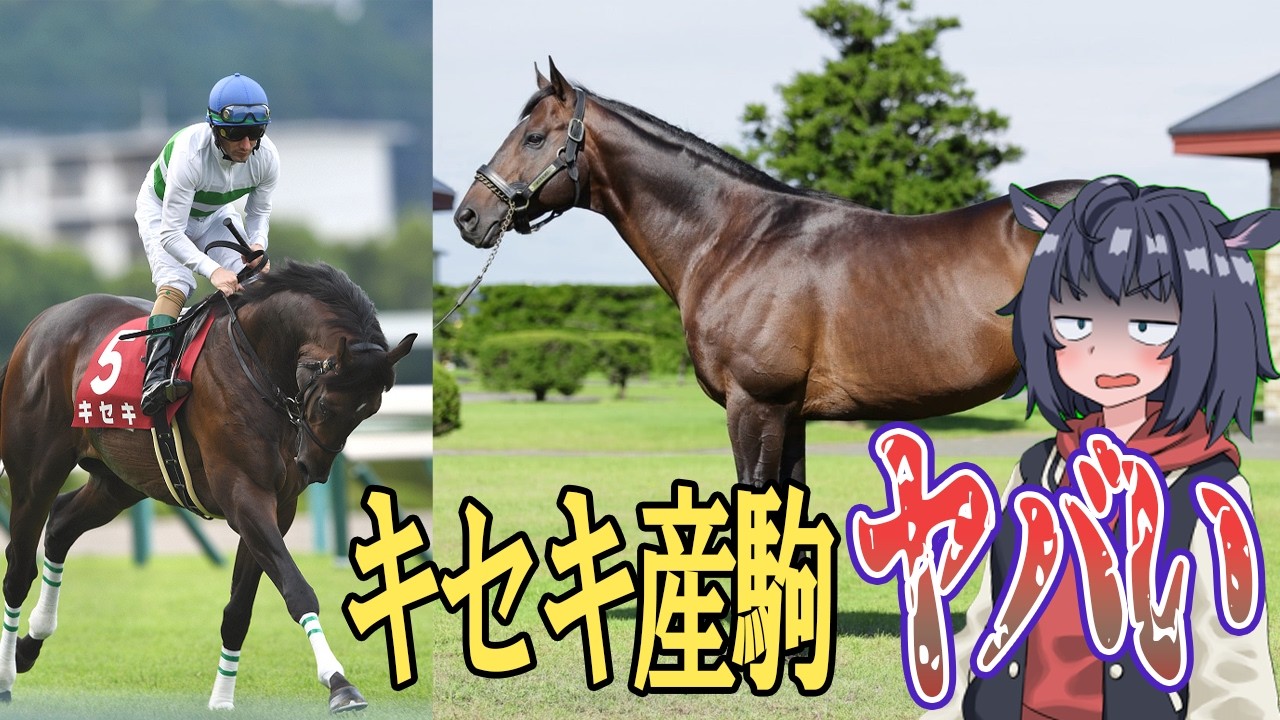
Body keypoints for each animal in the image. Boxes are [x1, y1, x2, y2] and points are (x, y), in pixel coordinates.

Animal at [0, 261, 415, 712]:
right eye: (325, 405)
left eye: (369, 410)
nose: (313, 467)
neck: (258, 364)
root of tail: (39, 324)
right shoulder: (243, 495)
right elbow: (297, 589)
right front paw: (339, 682)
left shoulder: (279, 507)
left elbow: (238, 611)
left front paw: (221, 698)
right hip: (35, 473)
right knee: (19, 567)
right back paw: (5, 674)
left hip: (122, 481)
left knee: (61, 523)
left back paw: (31, 642)